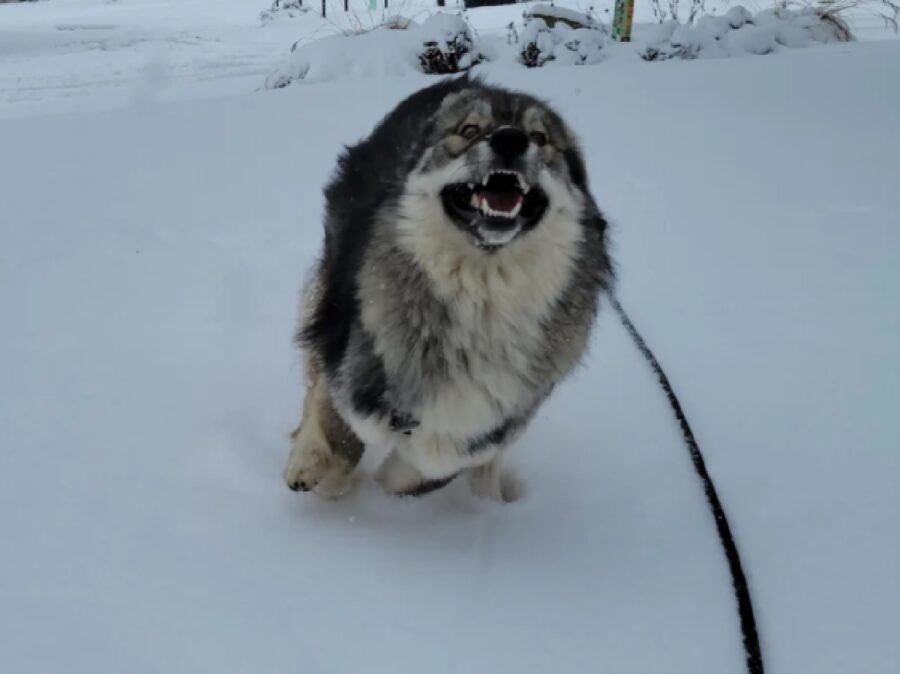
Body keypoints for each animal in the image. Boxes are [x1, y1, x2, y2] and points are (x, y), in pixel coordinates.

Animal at [284, 77, 616, 498]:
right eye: (469, 130)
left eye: (540, 138)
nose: (510, 140)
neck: (482, 291)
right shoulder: (347, 343)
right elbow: (337, 424)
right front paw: (318, 465)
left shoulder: (492, 421)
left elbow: (426, 469)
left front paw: (393, 477)